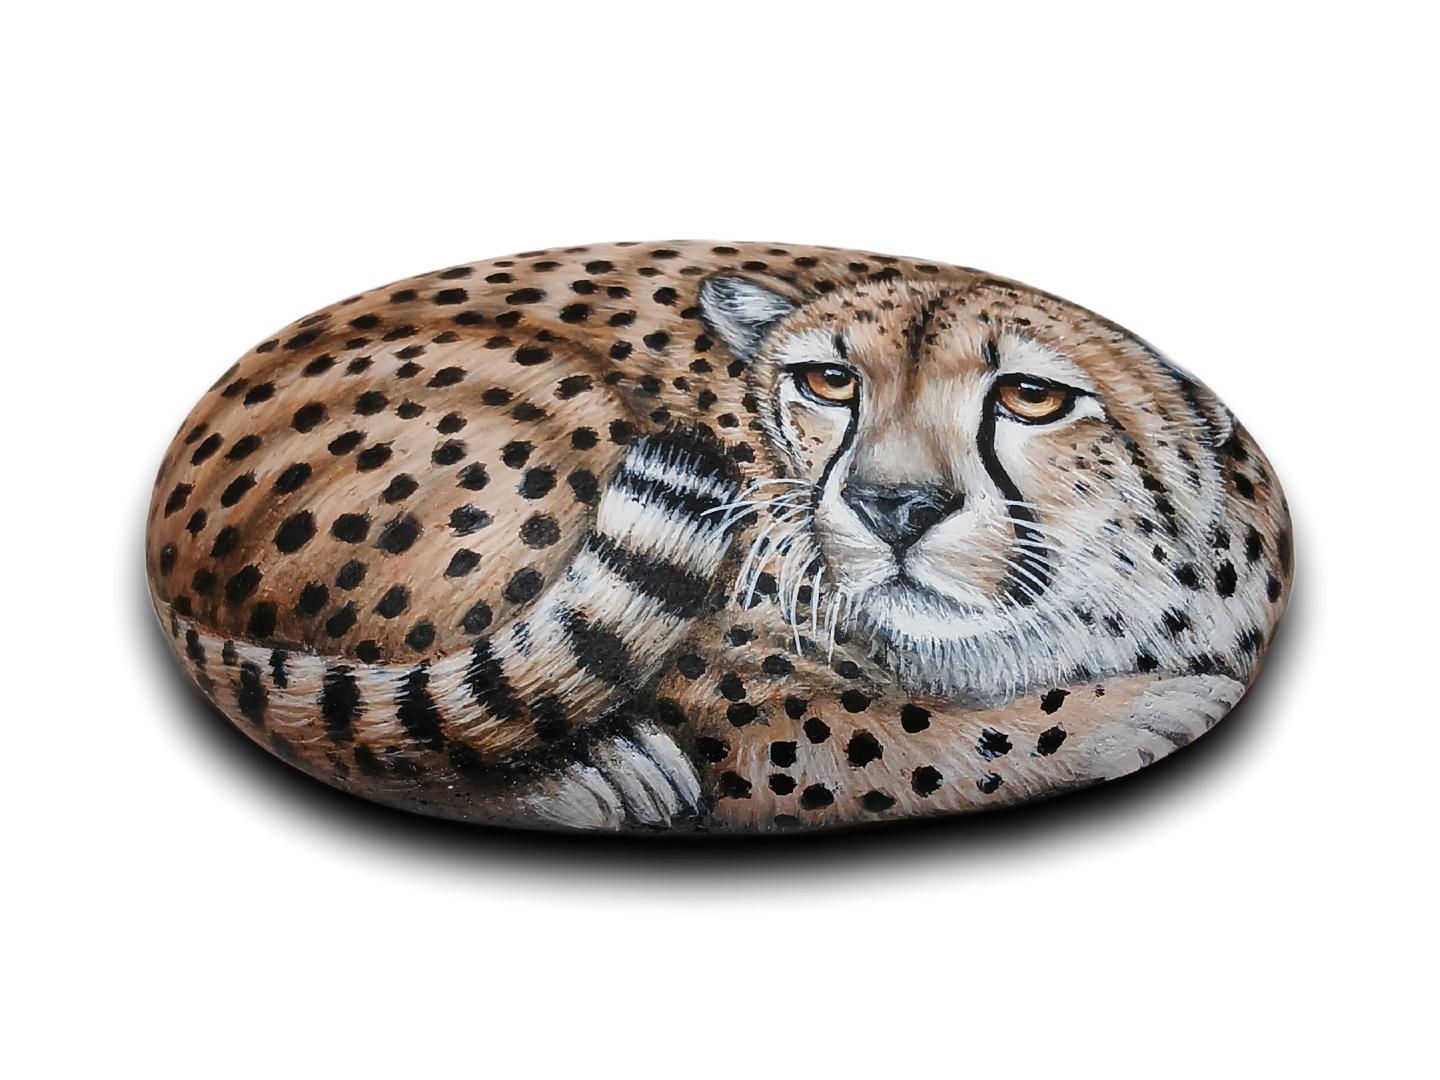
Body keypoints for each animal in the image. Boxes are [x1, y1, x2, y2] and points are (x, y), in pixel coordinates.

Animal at [146, 241, 1293, 833]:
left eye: (1032, 397)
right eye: (827, 381)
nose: (893, 509)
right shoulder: (737, 703)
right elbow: (903, 735)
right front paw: (1131, 716)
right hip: (556, 404)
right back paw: (592, 773)